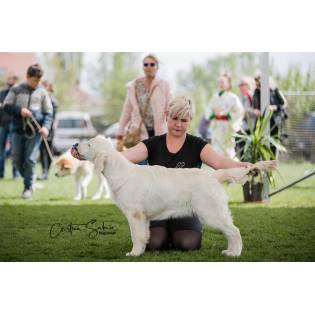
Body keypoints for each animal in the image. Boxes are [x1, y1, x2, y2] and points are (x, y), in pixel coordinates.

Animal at [75, 136, 278, 256]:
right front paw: (142, 250)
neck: (119, 170)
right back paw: (230, 250)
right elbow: (144, 235)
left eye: (89, 144)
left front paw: (134, 253)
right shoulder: (143, 217)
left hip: (212, 213)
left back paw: (234, 253)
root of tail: (214, 175)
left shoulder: (135, 214)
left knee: (234, 231)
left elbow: (136, 236)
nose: (75, 144)